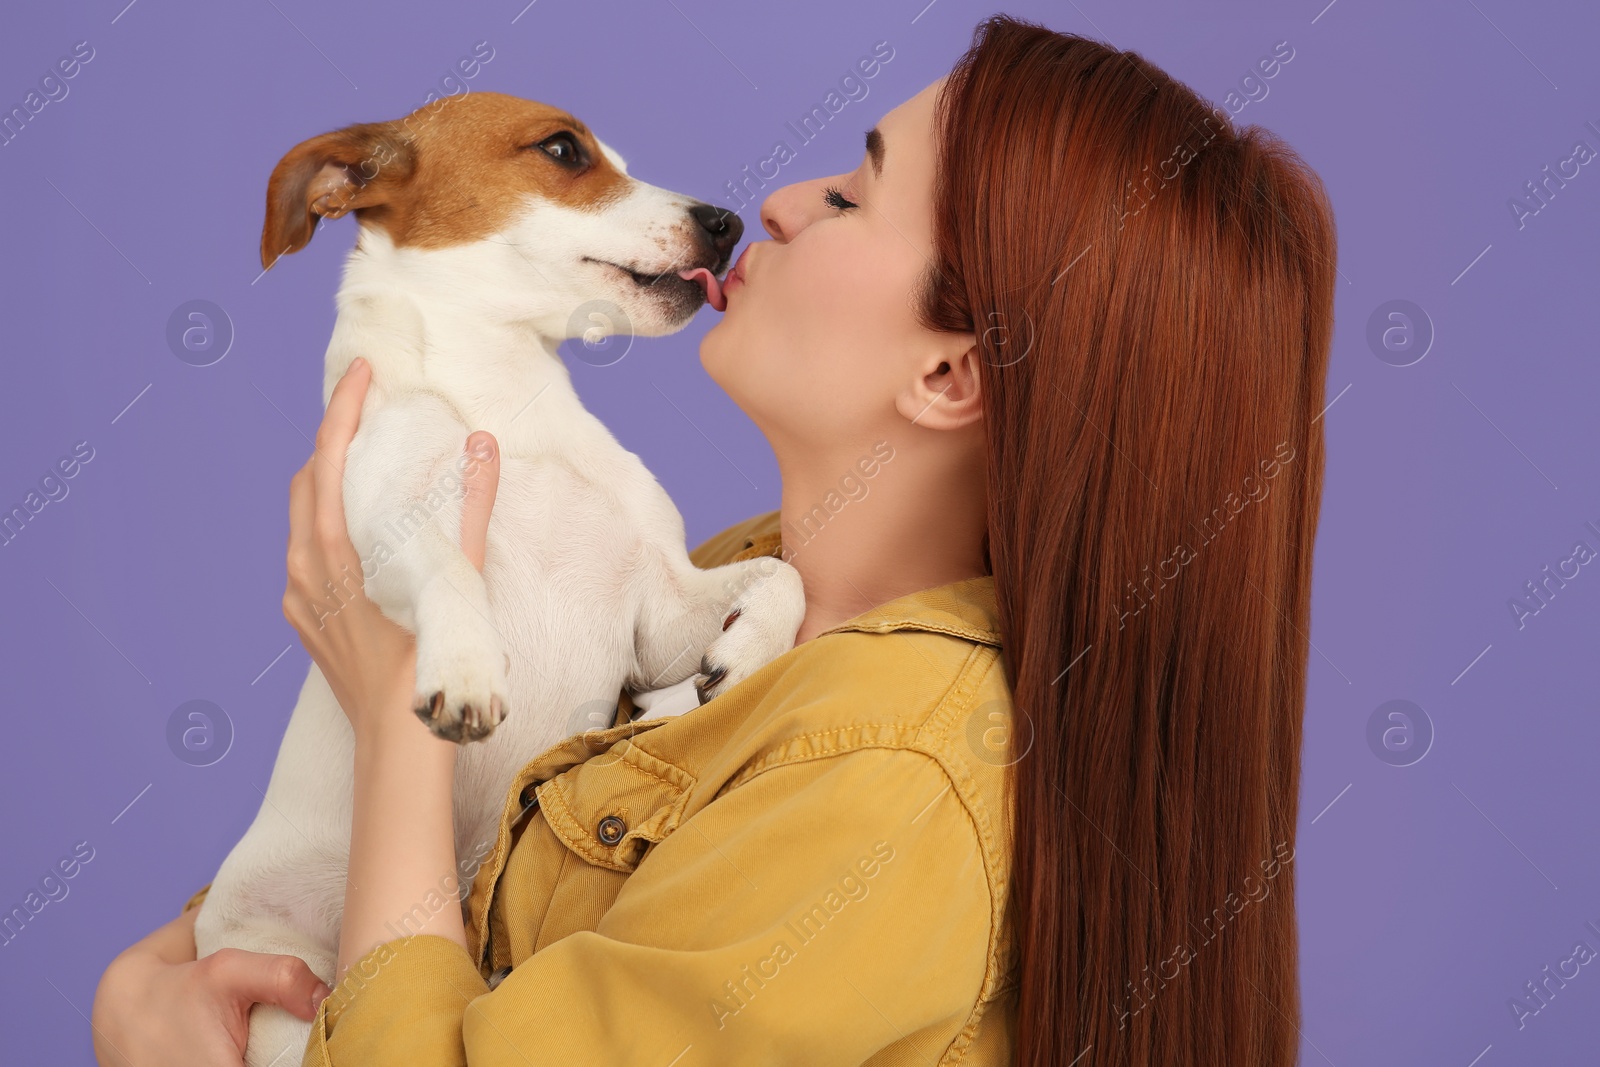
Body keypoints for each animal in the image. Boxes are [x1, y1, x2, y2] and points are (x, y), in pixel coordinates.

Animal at [192, 93, 806, 1067]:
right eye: (562, 149)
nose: (728, 222)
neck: (508, 406)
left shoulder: (660, 614)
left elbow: (778, 574)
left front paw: (746, 653)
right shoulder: (379, 544)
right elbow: (451, 568)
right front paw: (468, 666)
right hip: (287, 1001)